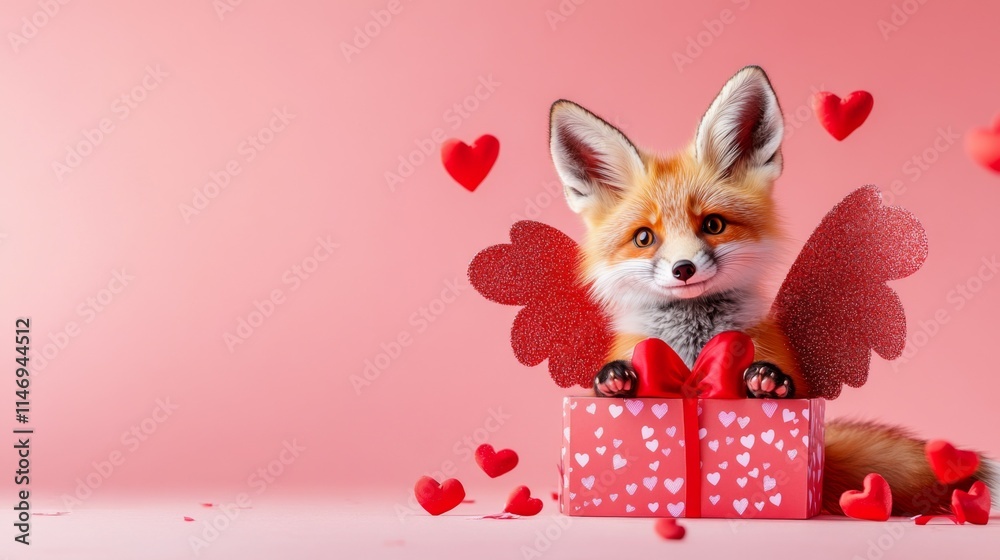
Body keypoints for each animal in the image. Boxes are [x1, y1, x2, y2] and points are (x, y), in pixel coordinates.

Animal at [548, 65, 994, 516]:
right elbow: (609, 381)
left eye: (713, 224)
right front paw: (614, 381)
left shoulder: (790, 374)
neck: (694, 348)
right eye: (644, 238)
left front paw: (764, 382)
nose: (683, 269)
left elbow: (777, 381)